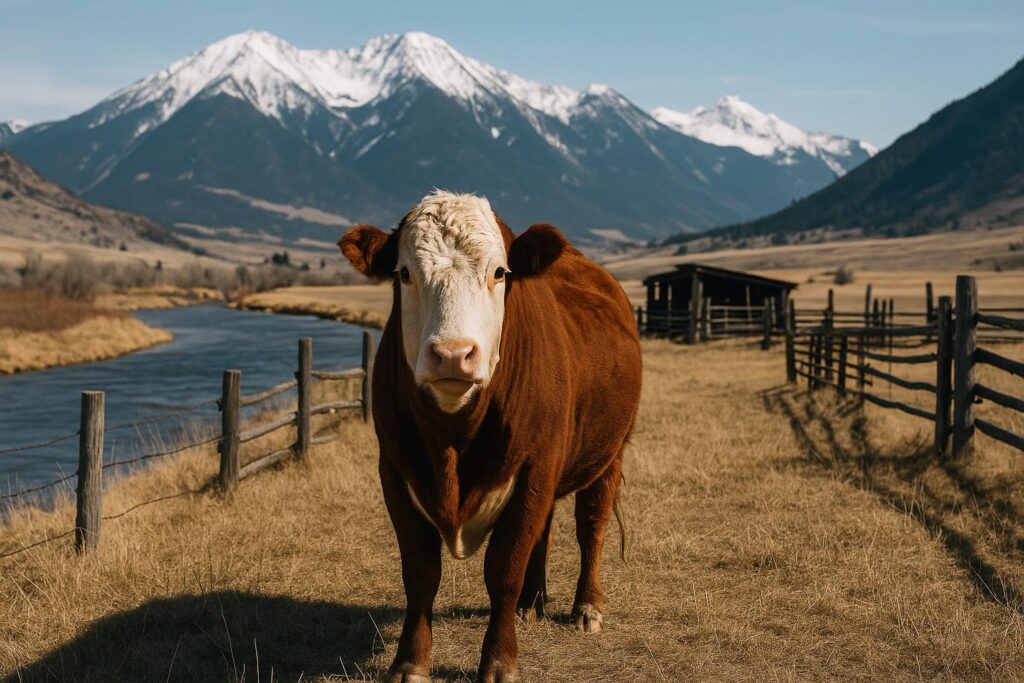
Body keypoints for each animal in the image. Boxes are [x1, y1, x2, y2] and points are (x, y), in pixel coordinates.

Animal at [339, 191, 642, 682]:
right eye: (405, 273)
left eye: (500, 272)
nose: (452, 354)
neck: (453, 441)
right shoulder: (395, 471)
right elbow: (420, 573)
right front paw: (409, 662)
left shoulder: (534, 467)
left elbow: (504, 568)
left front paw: (499, 662)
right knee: (546, 529)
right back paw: (532, 602)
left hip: (609, 454)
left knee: (590, 527)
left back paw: (586, 607)